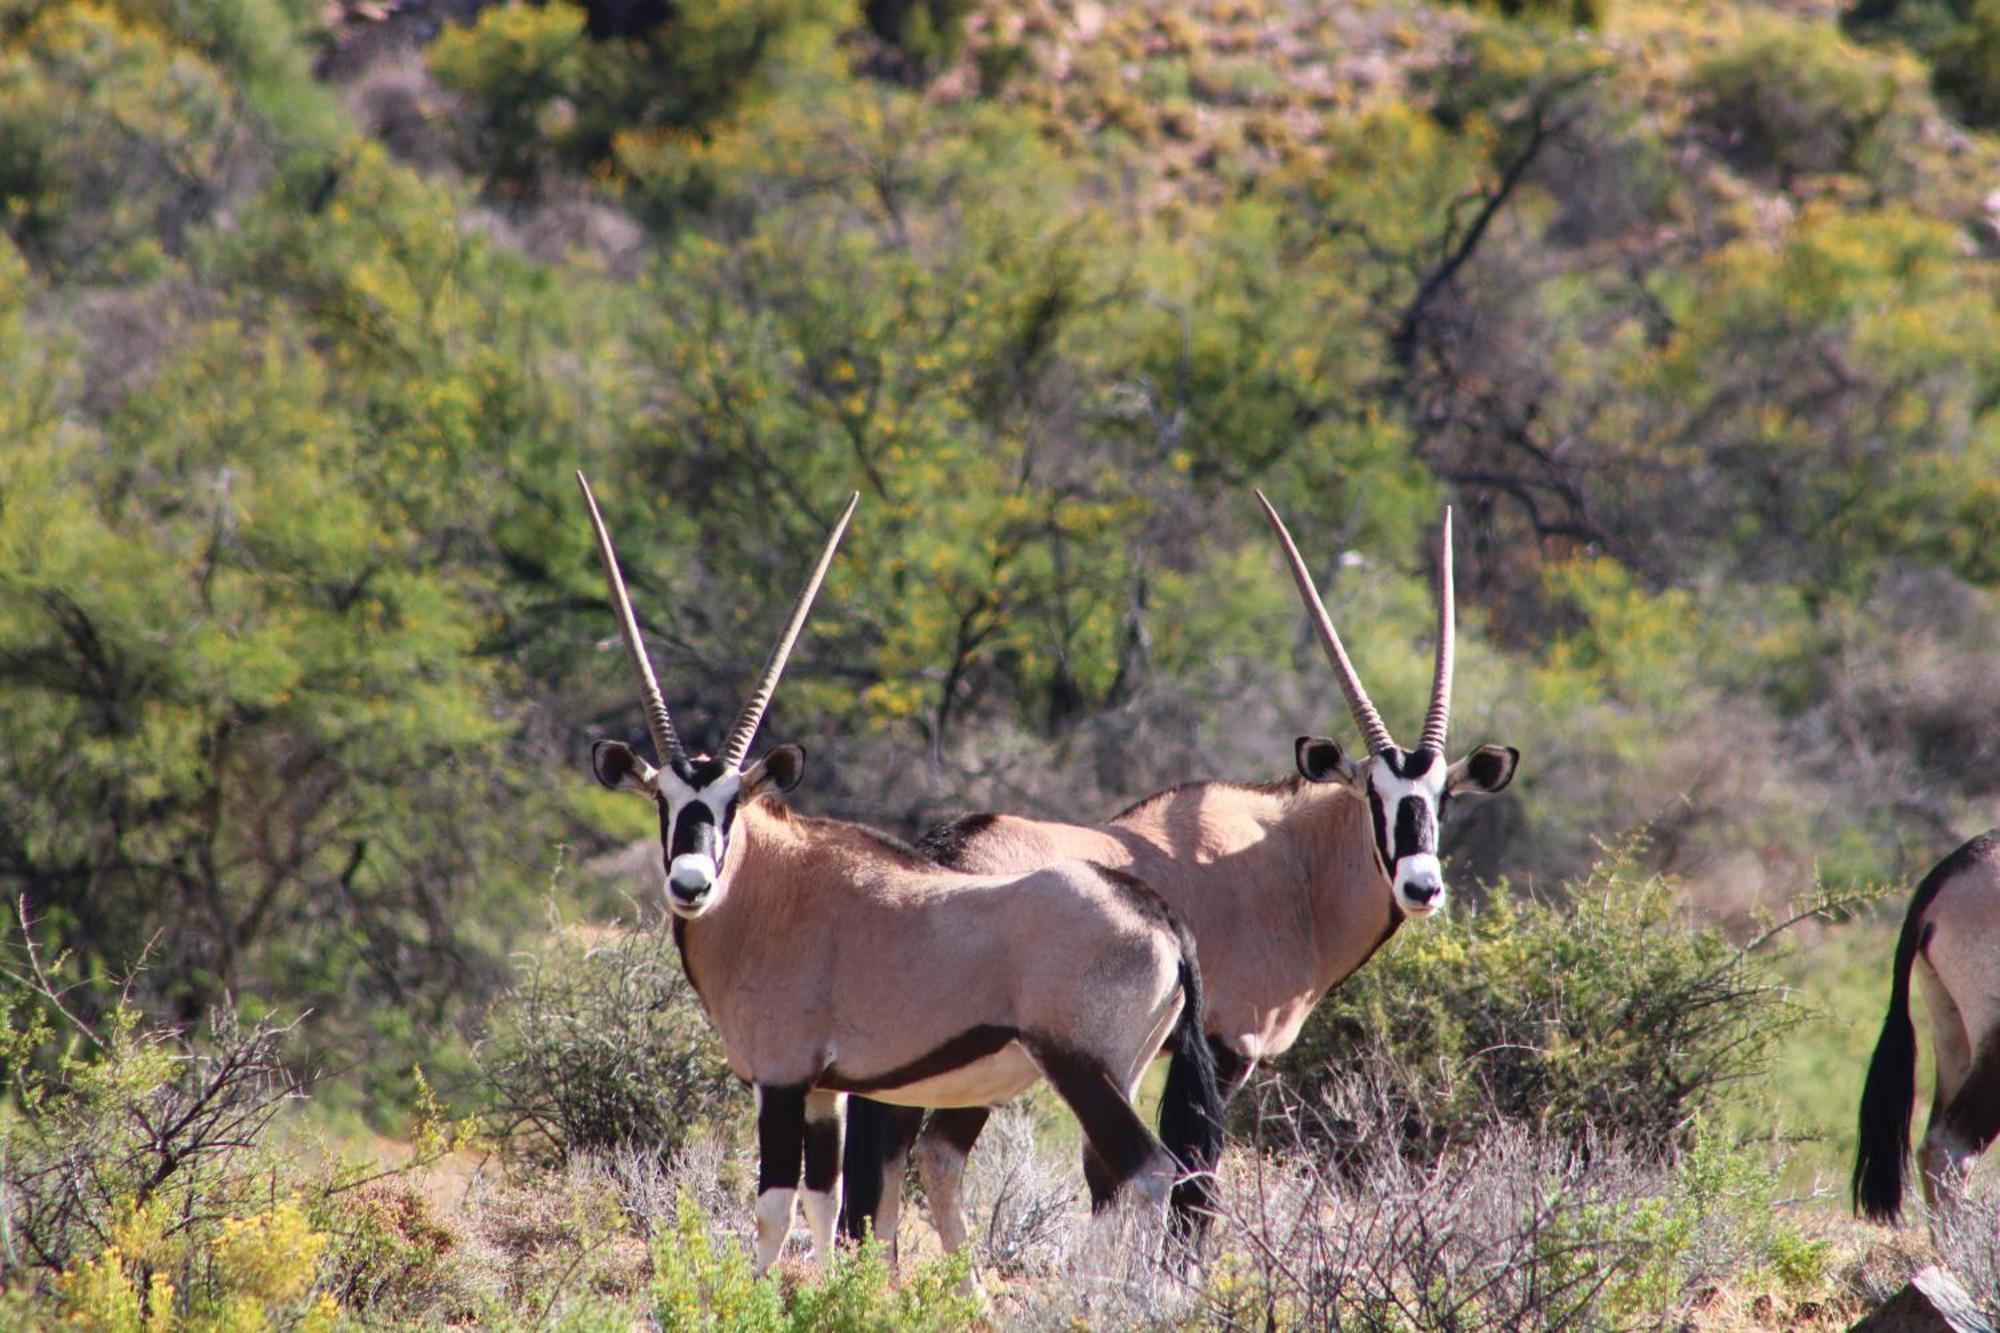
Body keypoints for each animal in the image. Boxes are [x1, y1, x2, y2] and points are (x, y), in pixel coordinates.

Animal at [580, 474, 1224, 1264]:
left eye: (733, 803)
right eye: (662, 800)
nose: (691, 884)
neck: (774, 893)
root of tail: (1159, 916)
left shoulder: (781, 1078)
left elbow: (773, 1208)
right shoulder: (826, 1088)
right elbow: (825, 1203)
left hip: (1082, 1068)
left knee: (1149, 1172)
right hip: (1122, 1072)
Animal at [840, 492, 1512, 1248]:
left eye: (1442, 797)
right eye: (1374, 794)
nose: (1422, 886)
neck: (1291, 868)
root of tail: (942, 846)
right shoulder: (1223, 1053)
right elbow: (1194, 1187)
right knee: (918, 1146)